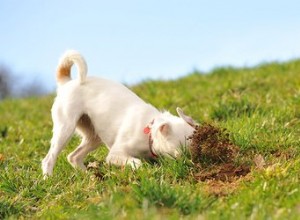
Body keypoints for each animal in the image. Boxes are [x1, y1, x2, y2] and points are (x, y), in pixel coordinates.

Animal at [42, 49, 197, 177]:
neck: (149, 133)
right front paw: (140, 168)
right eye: (181, 152)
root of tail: (67, 82)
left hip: (94, 135)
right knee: (49, 158)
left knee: (73, 156)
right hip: (65, 129)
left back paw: (87, 175)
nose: (193, 162)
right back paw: (48, 178)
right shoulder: (115, 155)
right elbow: (136, 162)